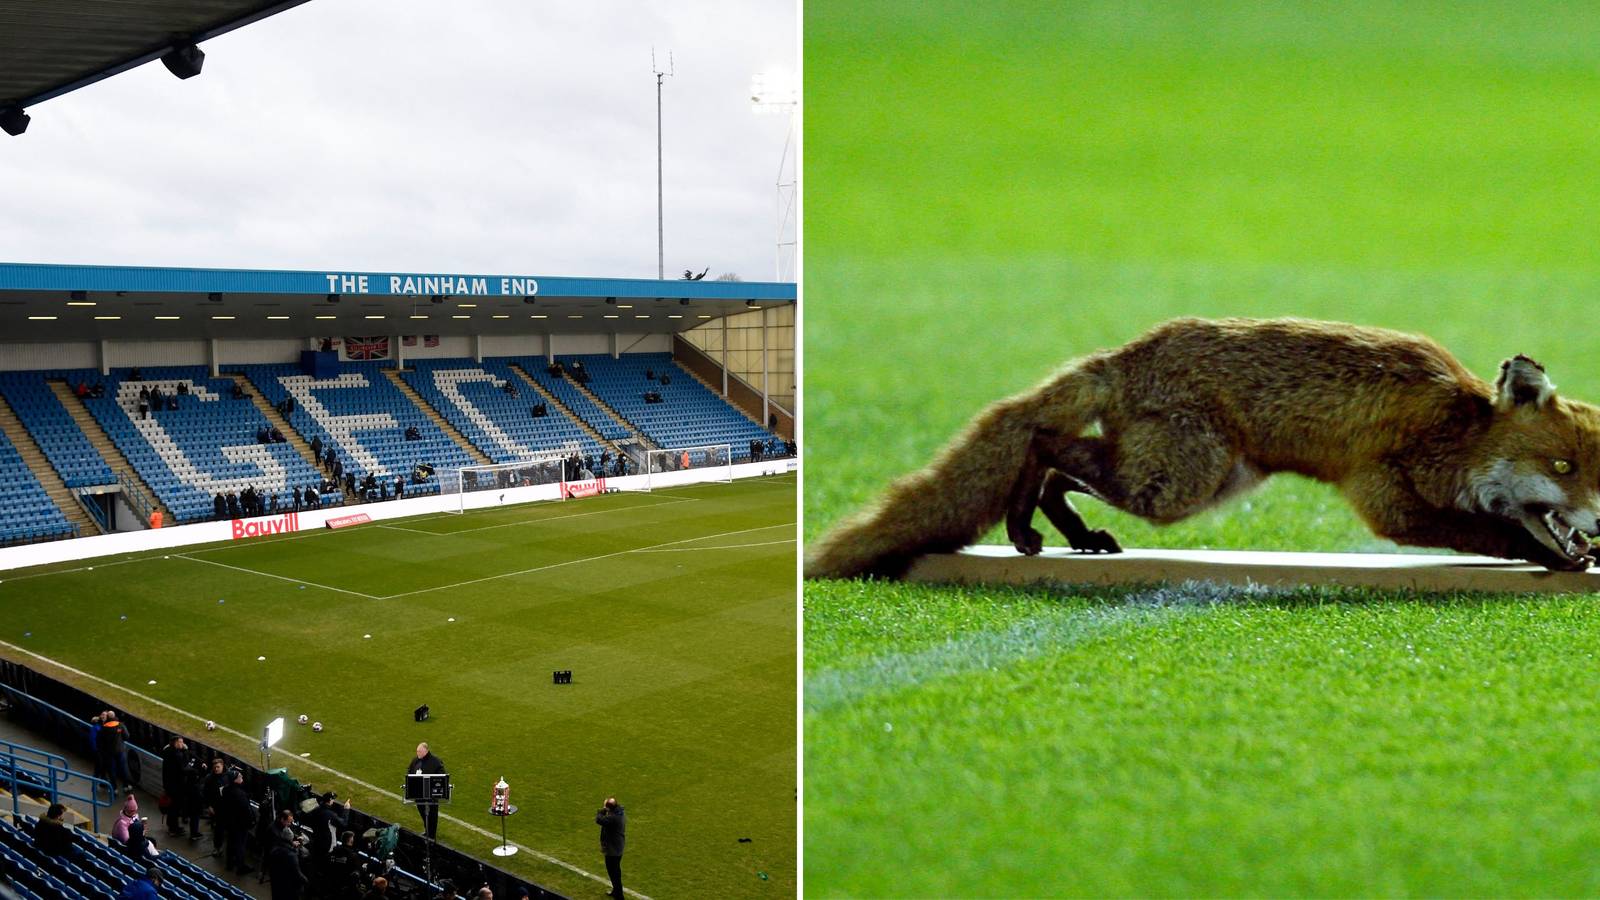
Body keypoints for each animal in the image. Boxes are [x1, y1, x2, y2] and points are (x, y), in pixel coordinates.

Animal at [806, 317, 1600, 579]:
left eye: (1597, 476)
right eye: (1560, 468)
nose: (1598, 524)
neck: (1459, 430)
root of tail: (1124, 354)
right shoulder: (1389, 501)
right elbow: (1498, 533)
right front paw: (1555, 558)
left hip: (1209, 482)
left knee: (1063, 459)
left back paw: (1073, 534)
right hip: (1181, 486)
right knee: (1044, 440)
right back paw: (1024, 524)